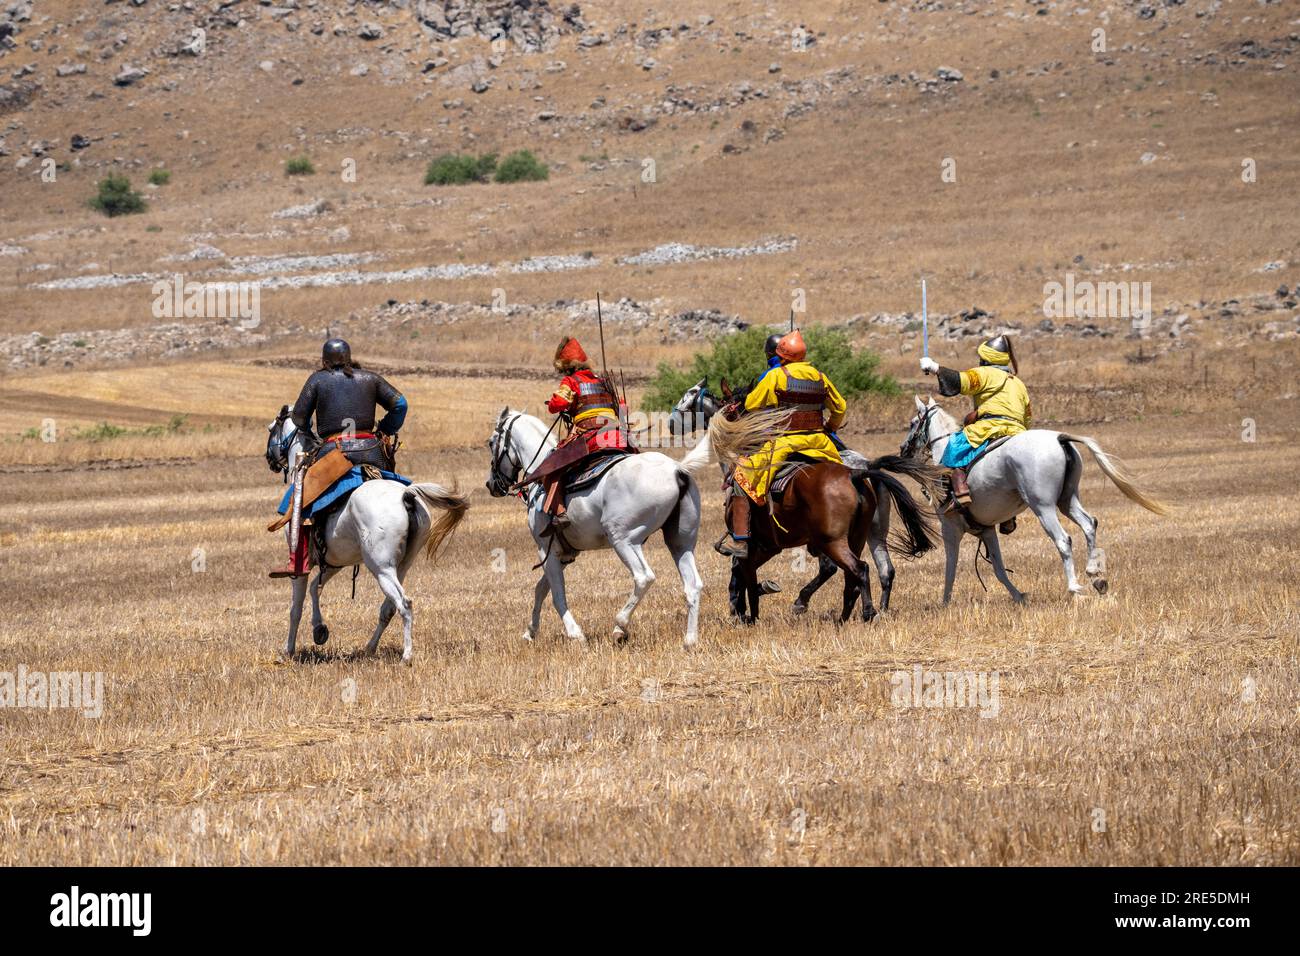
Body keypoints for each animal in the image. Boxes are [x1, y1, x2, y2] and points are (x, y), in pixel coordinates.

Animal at [263, 408, 467, 665]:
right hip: (401, 566)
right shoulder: (334, 562)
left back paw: (406, 655)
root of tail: (406, 495)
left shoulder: (301, 564)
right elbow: (315, 589)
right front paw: (319, 630)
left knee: (404, 604)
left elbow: (295, 608)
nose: (269, 458)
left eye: (271, 428)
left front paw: (287, 651)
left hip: (380, 568)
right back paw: (369, 647)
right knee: (388, 608)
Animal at [486, 408, 712, 647]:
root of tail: (677, 470)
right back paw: (690, 640)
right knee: (693, 585)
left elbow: (557, 594)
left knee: (643, 577)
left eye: (491, 442)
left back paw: (620, 626)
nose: (491, 485)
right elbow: (541, 589)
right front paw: (530, 632)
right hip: (680, 542)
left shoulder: (546, 550)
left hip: (622, 540)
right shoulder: (563, 555)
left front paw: (575, 634)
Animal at [712, 400, 935, 624]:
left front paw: (749, 612)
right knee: (875, 572)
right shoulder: (769, 545)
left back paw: (857, 611)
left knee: (853, 568)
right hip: (865, 536)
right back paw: (860, 613)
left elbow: (745, 576)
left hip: (832, 542)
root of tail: (858, 472)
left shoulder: (756, 546)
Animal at [904, 395, 1170, 606]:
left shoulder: (951, 529)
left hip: (1043, 507)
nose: (903, 448)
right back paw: (1096, 576)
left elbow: (951, 566)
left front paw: (945, 602)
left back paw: (1075, 588)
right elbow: (999, 568)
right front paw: (1019, 597)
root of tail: (1059, 438)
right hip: (1067, 500)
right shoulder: (987, 530)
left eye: (913, 423)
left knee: (1063, 540)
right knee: (1088, 524)